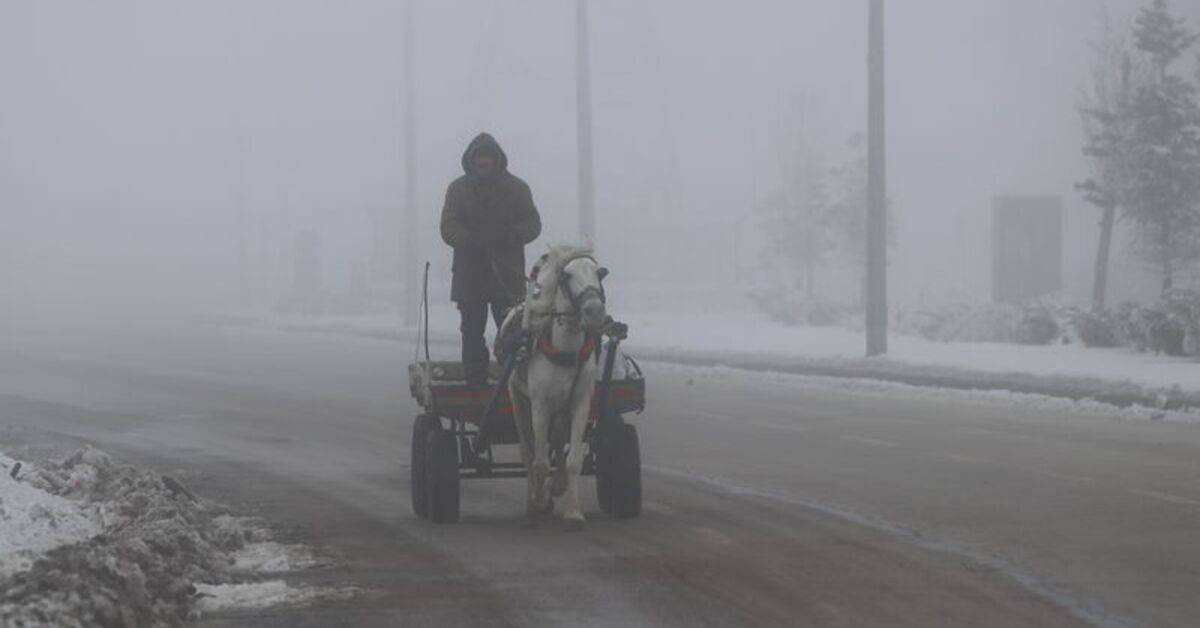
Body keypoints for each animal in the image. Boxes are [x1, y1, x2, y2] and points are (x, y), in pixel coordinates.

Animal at [506, 244, 609, 530]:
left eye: (598, 273)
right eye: (567, 275)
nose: (595, 311)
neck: (565, 349)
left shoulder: (580, 401)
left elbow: (573, 460)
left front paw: (573, 511)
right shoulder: (540, 404)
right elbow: (539, 460)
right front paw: (540, 501)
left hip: (561, 409)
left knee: (557, 439)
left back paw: (558, 483)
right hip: (518, 398)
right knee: (527, 448)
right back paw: (533, 502)